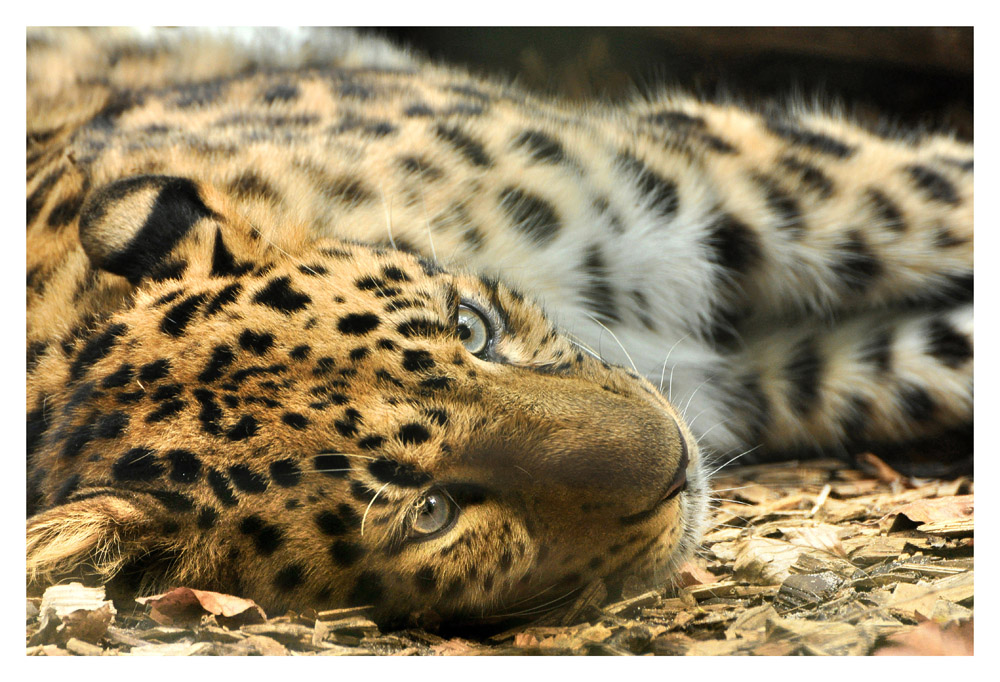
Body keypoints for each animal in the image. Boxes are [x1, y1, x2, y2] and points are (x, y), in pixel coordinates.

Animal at [27, 26, 972, 620]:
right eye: (432, 513)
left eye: (472, 329)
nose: (677, 459)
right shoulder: (773, 378)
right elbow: (933, 356)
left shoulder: (717, 171)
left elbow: (942, 187)